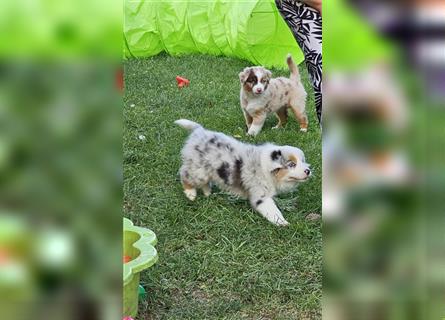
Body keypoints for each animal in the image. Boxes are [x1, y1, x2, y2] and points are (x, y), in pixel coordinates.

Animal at [173, 119, 308, 226]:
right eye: (291, 164)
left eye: (303, 161)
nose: (308, 171)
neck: (266, 167)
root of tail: (199, 131)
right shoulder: (261, 195)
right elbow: (272, 210)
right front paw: (282, 222)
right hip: (198, 170)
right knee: (184, 174)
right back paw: (191, 194)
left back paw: (207, 192)